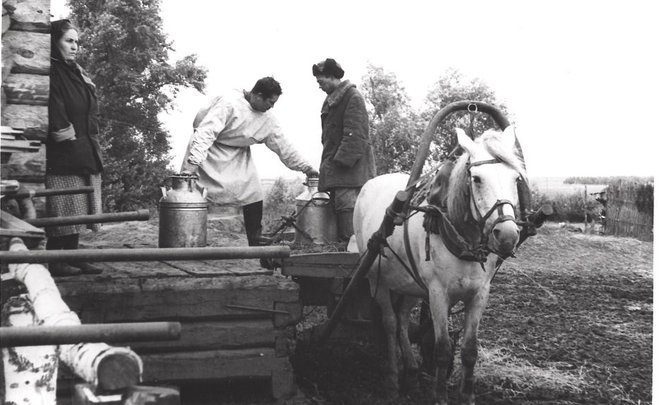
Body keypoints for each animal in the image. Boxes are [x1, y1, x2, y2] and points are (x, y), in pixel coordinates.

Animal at [354, 124, 528, 402]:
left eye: (515, 179)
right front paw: (439, 396)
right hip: (376, 279)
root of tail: (370, 184)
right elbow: (443, 350)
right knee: (390, 323)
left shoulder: (480, 294)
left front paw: (467, 396)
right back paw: (392, 379)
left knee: (402, 320)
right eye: (477, 179)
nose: (508, 236)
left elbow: (469, 350)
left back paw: (412, 371)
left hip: (409, 283)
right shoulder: (437, 293)